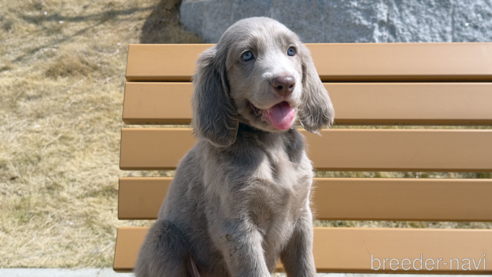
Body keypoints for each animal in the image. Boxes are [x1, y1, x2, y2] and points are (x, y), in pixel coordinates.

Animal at [135, 16, 334, 276]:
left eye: (291, 51)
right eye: (247, 55)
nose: (285, 83)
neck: (271, 144)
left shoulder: (301, 215)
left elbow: (305, 266)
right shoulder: (236, 227)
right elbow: (255, 270)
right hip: (163, 236)